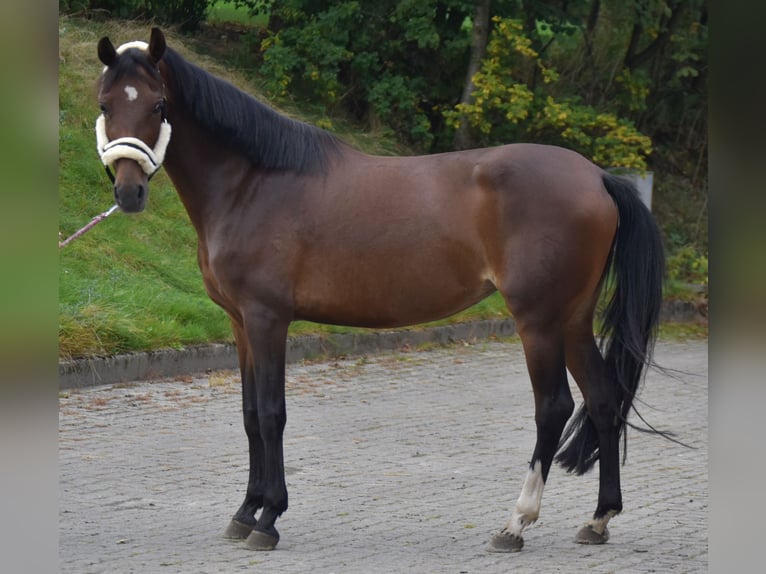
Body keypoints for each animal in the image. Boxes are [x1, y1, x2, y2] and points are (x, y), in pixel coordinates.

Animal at [94, 29, 664, 556]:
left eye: (158, 105)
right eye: (105, 104)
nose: (129, 191)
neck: (253, 182)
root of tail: (597, 177)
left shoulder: (267, 318)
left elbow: (273, 414)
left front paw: (269, 518)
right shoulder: (240, 324)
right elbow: (251, 415)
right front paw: (245, 510)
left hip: (539, 321)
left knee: (553, 406)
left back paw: (515, 524)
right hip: (572, 320)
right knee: (603, 397)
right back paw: (598, 519)